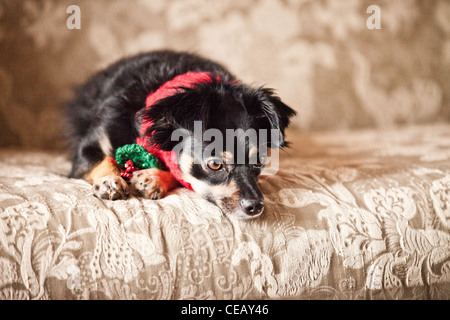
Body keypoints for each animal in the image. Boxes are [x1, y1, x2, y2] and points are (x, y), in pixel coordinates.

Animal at [64, 50, 296, 220]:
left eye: (259, 161)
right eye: (215, 164)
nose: (255, 206)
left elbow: (178, 173)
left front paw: (154, 177)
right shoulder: (87, 149)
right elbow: (102, 160)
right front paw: (110, 180)